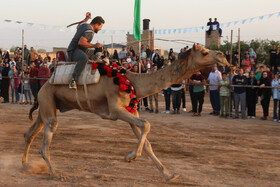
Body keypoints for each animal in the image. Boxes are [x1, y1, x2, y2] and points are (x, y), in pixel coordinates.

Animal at [21, 43, 228, 181]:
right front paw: (130, 157)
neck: (133, 81)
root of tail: (44, 84)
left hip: (48, 104)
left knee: (30, 133)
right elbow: (147, 124)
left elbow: (146, 137)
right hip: (48, 100)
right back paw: (55, 174)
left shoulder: (131, 111)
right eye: (204, 52)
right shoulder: (115, 109)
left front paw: (169, 174)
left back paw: (25, 165)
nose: (223, 57)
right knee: (47, 135)